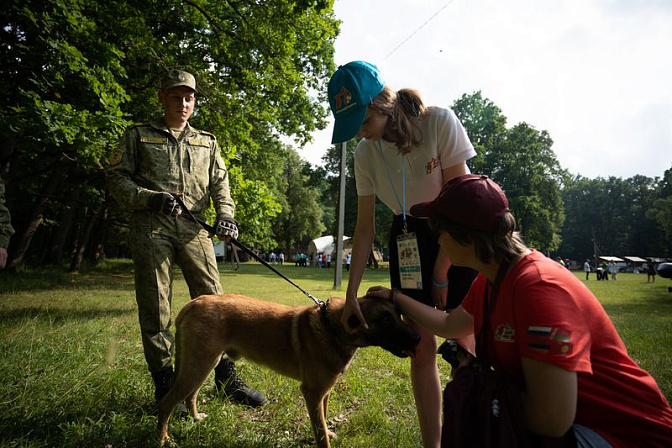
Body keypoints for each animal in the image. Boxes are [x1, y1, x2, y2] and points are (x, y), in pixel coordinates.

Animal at [158, 292, 420, 446]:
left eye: (398, 314)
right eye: (385, 319)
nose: (418, 338)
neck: (332, 327)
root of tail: (194, 302)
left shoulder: (324, 392)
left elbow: (324, 420)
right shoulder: (312, 393)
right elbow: (320, 431)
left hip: (204, 363)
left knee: (191, 395)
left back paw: (195, 418)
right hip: (198, 364)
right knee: (167, 402)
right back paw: (163, 439)